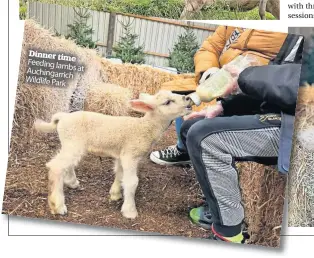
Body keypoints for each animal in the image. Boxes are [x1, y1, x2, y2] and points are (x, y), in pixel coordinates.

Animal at [33, 89, 191, 219]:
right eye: (168, 102)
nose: (188, 98)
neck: (145, 128)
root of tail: (63, 117)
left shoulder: (122, 154)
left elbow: (119, 174)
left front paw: (115, 194)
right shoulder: (130, 155)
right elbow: (132, 182)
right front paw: (130, 211)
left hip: (71, 144)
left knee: (67, 164)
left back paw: (72, 182)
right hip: (73, 143)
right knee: (56, 166)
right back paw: (58, 205)